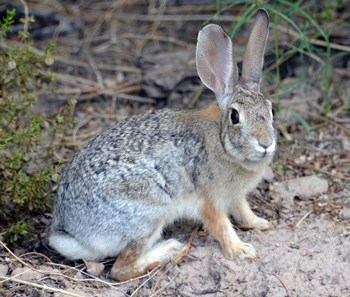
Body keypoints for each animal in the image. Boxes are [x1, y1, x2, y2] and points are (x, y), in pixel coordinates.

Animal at [49, 9, 274, 280]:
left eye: (270, 110)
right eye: (235, 116)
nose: (266, 144)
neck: (223, 144)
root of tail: (71, 232)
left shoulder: (235, 197)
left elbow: (243, 210)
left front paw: (261, 223)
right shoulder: (210, 200)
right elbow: (221, 226)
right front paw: (241, 250)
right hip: (149, 211)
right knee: (121, 269)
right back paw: (168, 250)